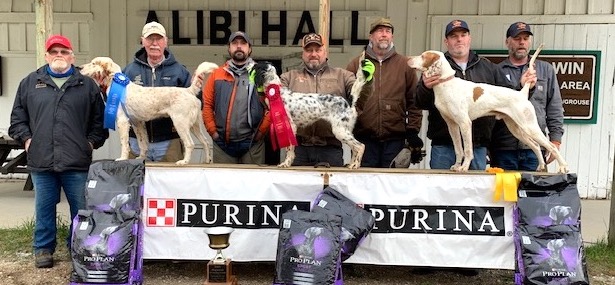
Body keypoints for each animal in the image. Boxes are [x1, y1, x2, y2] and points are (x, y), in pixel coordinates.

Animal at [80, 57, 217, 164]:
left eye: (93, 63)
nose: (79, 67)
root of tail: (189, 90)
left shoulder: (123, 121)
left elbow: (124, 143)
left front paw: (122, 158)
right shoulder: (137, 123)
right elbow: (143, 143)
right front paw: (141, 157)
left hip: (180, 123)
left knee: (190, 144)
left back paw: (184, 161)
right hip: (195, 125)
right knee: (205, 142)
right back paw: (207, 161)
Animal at [406, 46, 572, 173]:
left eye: (423, 56)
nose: (408, 59)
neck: (445, 84)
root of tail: (522, 93)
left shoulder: (465, 123)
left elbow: (467, 150)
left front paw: (464, 167)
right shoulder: (452, 125)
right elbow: (458, 149)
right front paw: (457, 166)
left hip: (529, 126)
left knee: (551, 146)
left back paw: (563, 167)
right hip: (516, 129)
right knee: (536, 146)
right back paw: (541, 166)